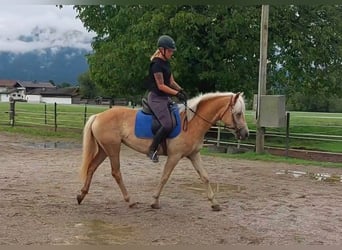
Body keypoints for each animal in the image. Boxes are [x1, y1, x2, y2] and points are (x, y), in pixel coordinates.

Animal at [77, 92, 248, 211]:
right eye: (238, 113)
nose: (245, 133)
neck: (192, 122)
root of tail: (98, 115)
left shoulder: (194, 155)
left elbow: (205, 177)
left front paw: (215, 203)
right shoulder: (175, 156)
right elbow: (165, 177)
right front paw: (154, 201)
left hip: (104, 149)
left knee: (91, 168)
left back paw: (81, 195)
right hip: (112, 148)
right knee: (116, 172)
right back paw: (130, 201)